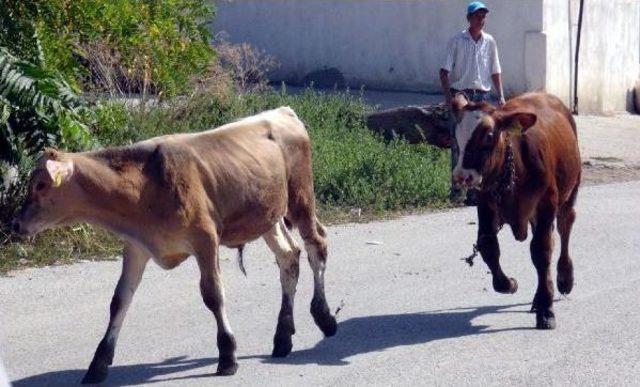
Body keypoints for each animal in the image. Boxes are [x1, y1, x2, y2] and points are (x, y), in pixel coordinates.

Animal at [11, 106, 340, 384]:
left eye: (40, 185)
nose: (15, 223)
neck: (145, 186)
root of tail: (282, 111)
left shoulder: (205, 239)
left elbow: (213, 295)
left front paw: (228, 355)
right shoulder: (137, 246)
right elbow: (119, 301)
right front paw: (98, 363)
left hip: (300, 197)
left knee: (316, 246)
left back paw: (324, 317)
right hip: (267, 216)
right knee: (289, 258)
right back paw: (283, 337)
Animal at [452, 91, 584, 330]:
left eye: (489, 136)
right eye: (457, 134)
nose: (462, 176)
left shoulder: (546, 203)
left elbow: (541, 251)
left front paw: (546, 310)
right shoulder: (486, 203)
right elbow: (488, 246)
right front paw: (509, 284)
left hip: (570, 193)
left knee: (564, 227)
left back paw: (564, 279)